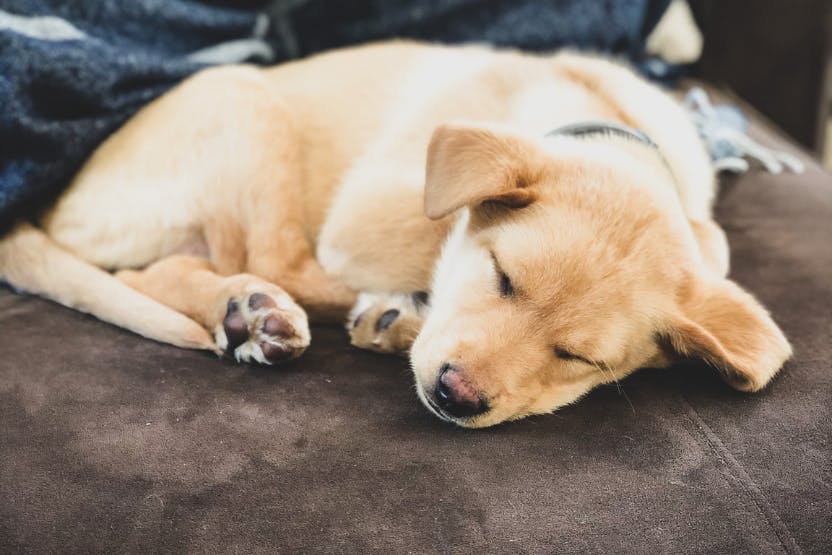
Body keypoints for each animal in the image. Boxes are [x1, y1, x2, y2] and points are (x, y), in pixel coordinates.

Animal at [0, 41, 792, 428]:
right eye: (502, 276)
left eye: (580, 359)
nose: (456, 396)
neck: (609, 122)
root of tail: (51, 205)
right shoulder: (372, 208)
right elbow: (429, 247)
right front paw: (404, 309)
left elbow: (714, 253)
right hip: (245, 98)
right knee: (265, 258)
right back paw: (288, 311)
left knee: (155, 273)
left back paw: (247, 312)